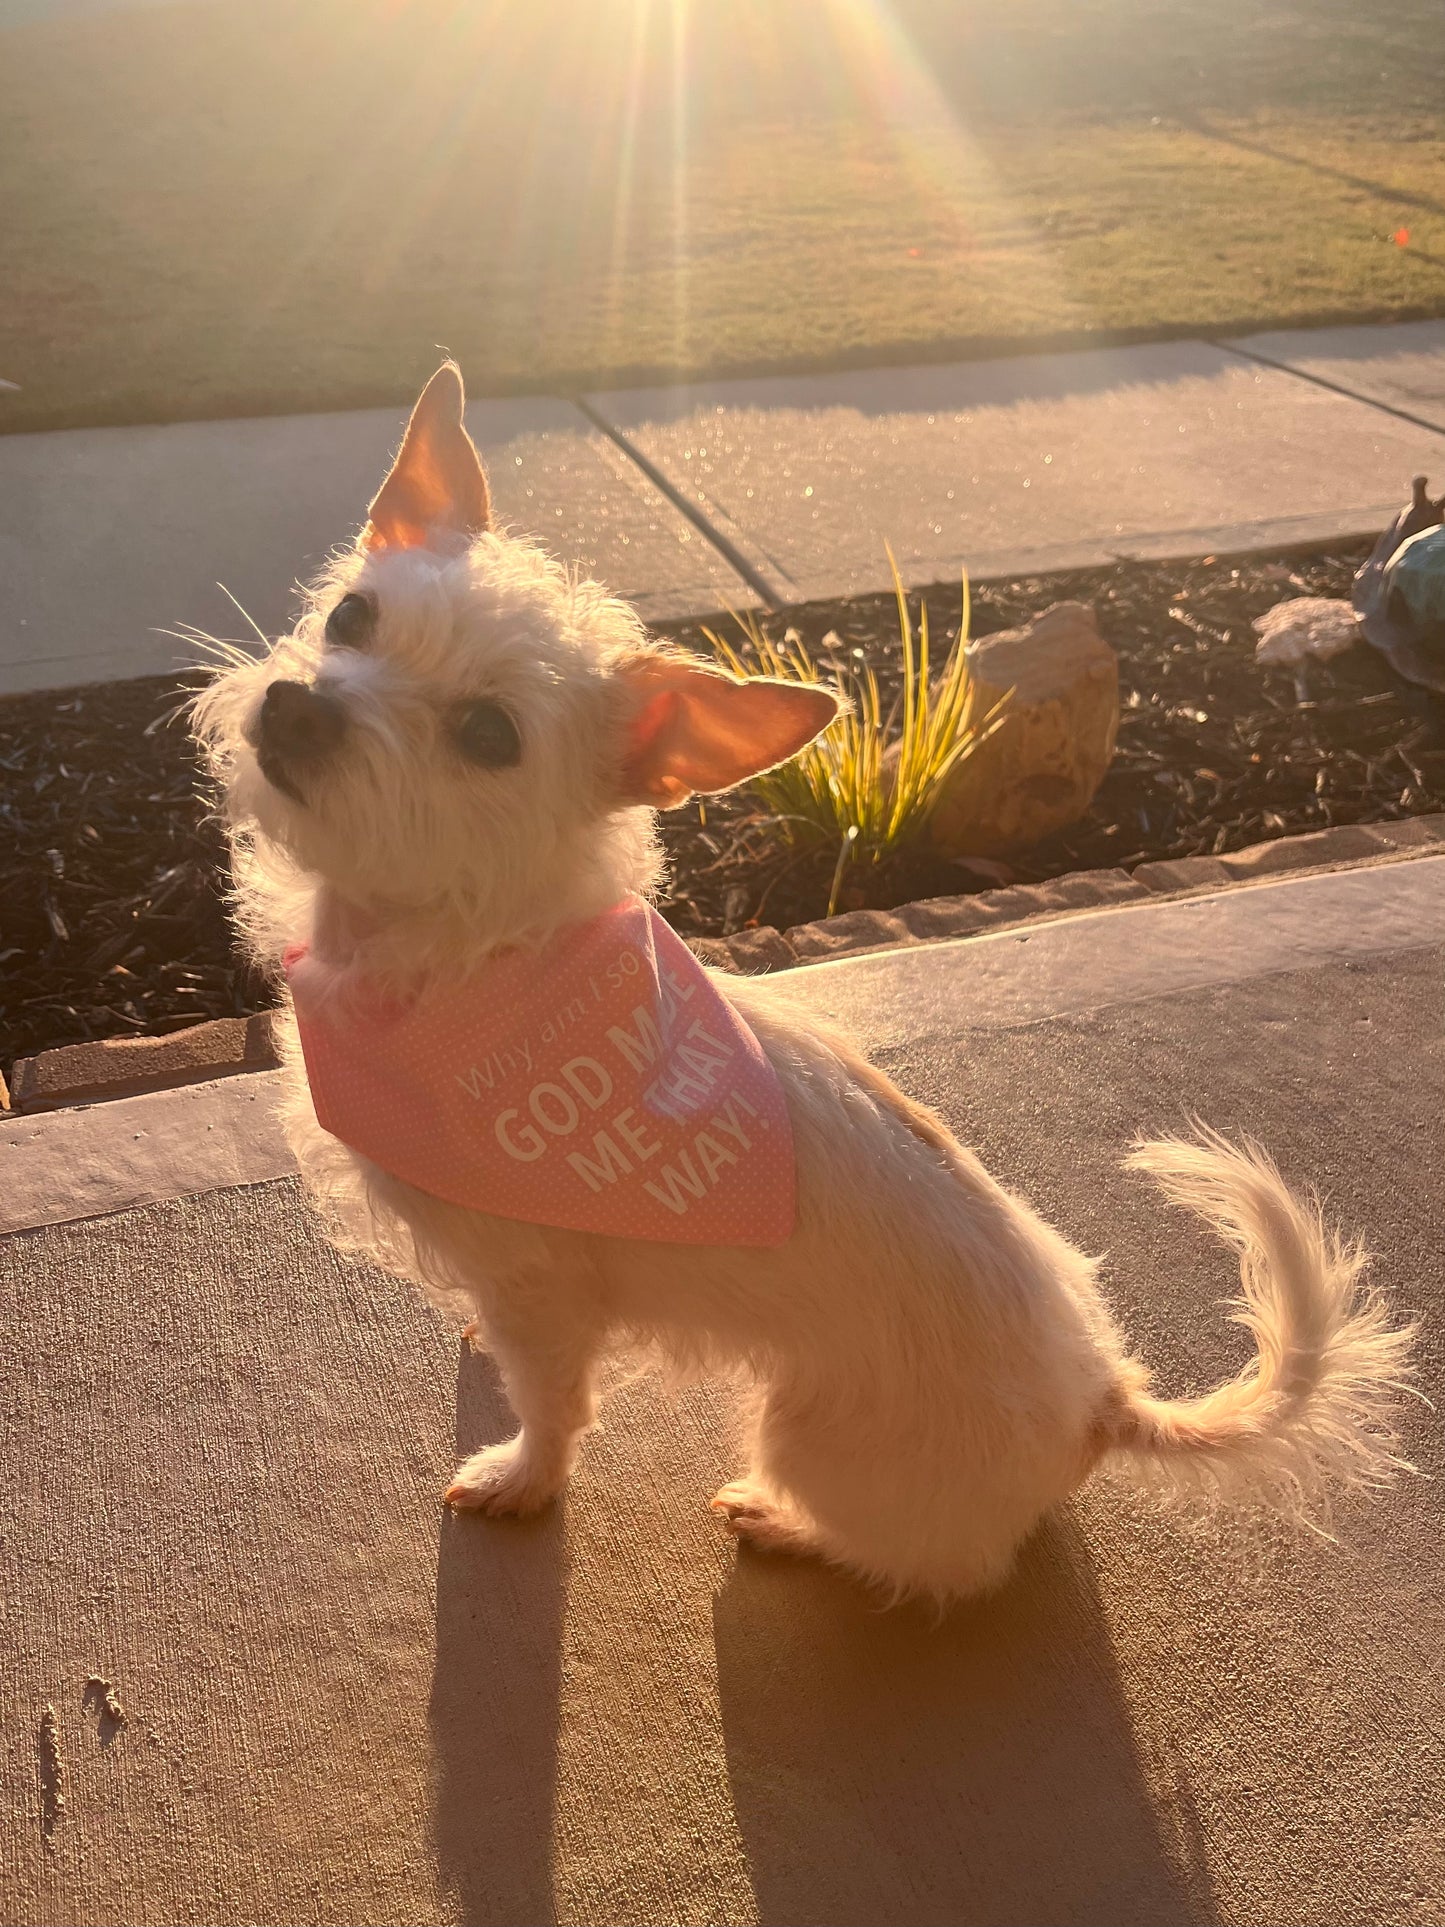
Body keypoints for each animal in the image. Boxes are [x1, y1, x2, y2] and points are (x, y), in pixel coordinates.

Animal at [192, 368, 1418, 1603]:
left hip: (810, 1433)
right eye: (352, 617)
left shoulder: (547, 1293)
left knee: (935, 1565)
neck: (479, 947)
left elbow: (550, 1407)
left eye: (488, 733)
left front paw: (519, 1478)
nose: (297, 703)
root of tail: (1103, 1402)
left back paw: (785, 1524)